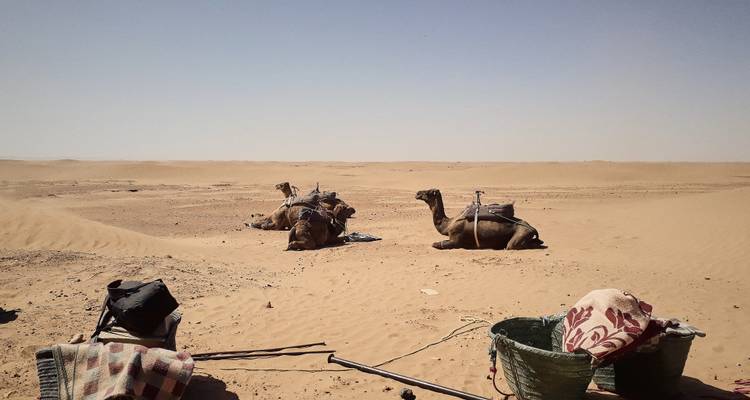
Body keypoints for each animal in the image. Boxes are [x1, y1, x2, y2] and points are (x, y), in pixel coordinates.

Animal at [415, 189, 543, 250]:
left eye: (429, 192)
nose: (417, 193)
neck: (448, 224)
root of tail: (532, 228)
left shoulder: (456, 239)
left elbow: (436, 244)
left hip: (520, 235)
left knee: (511, 245)